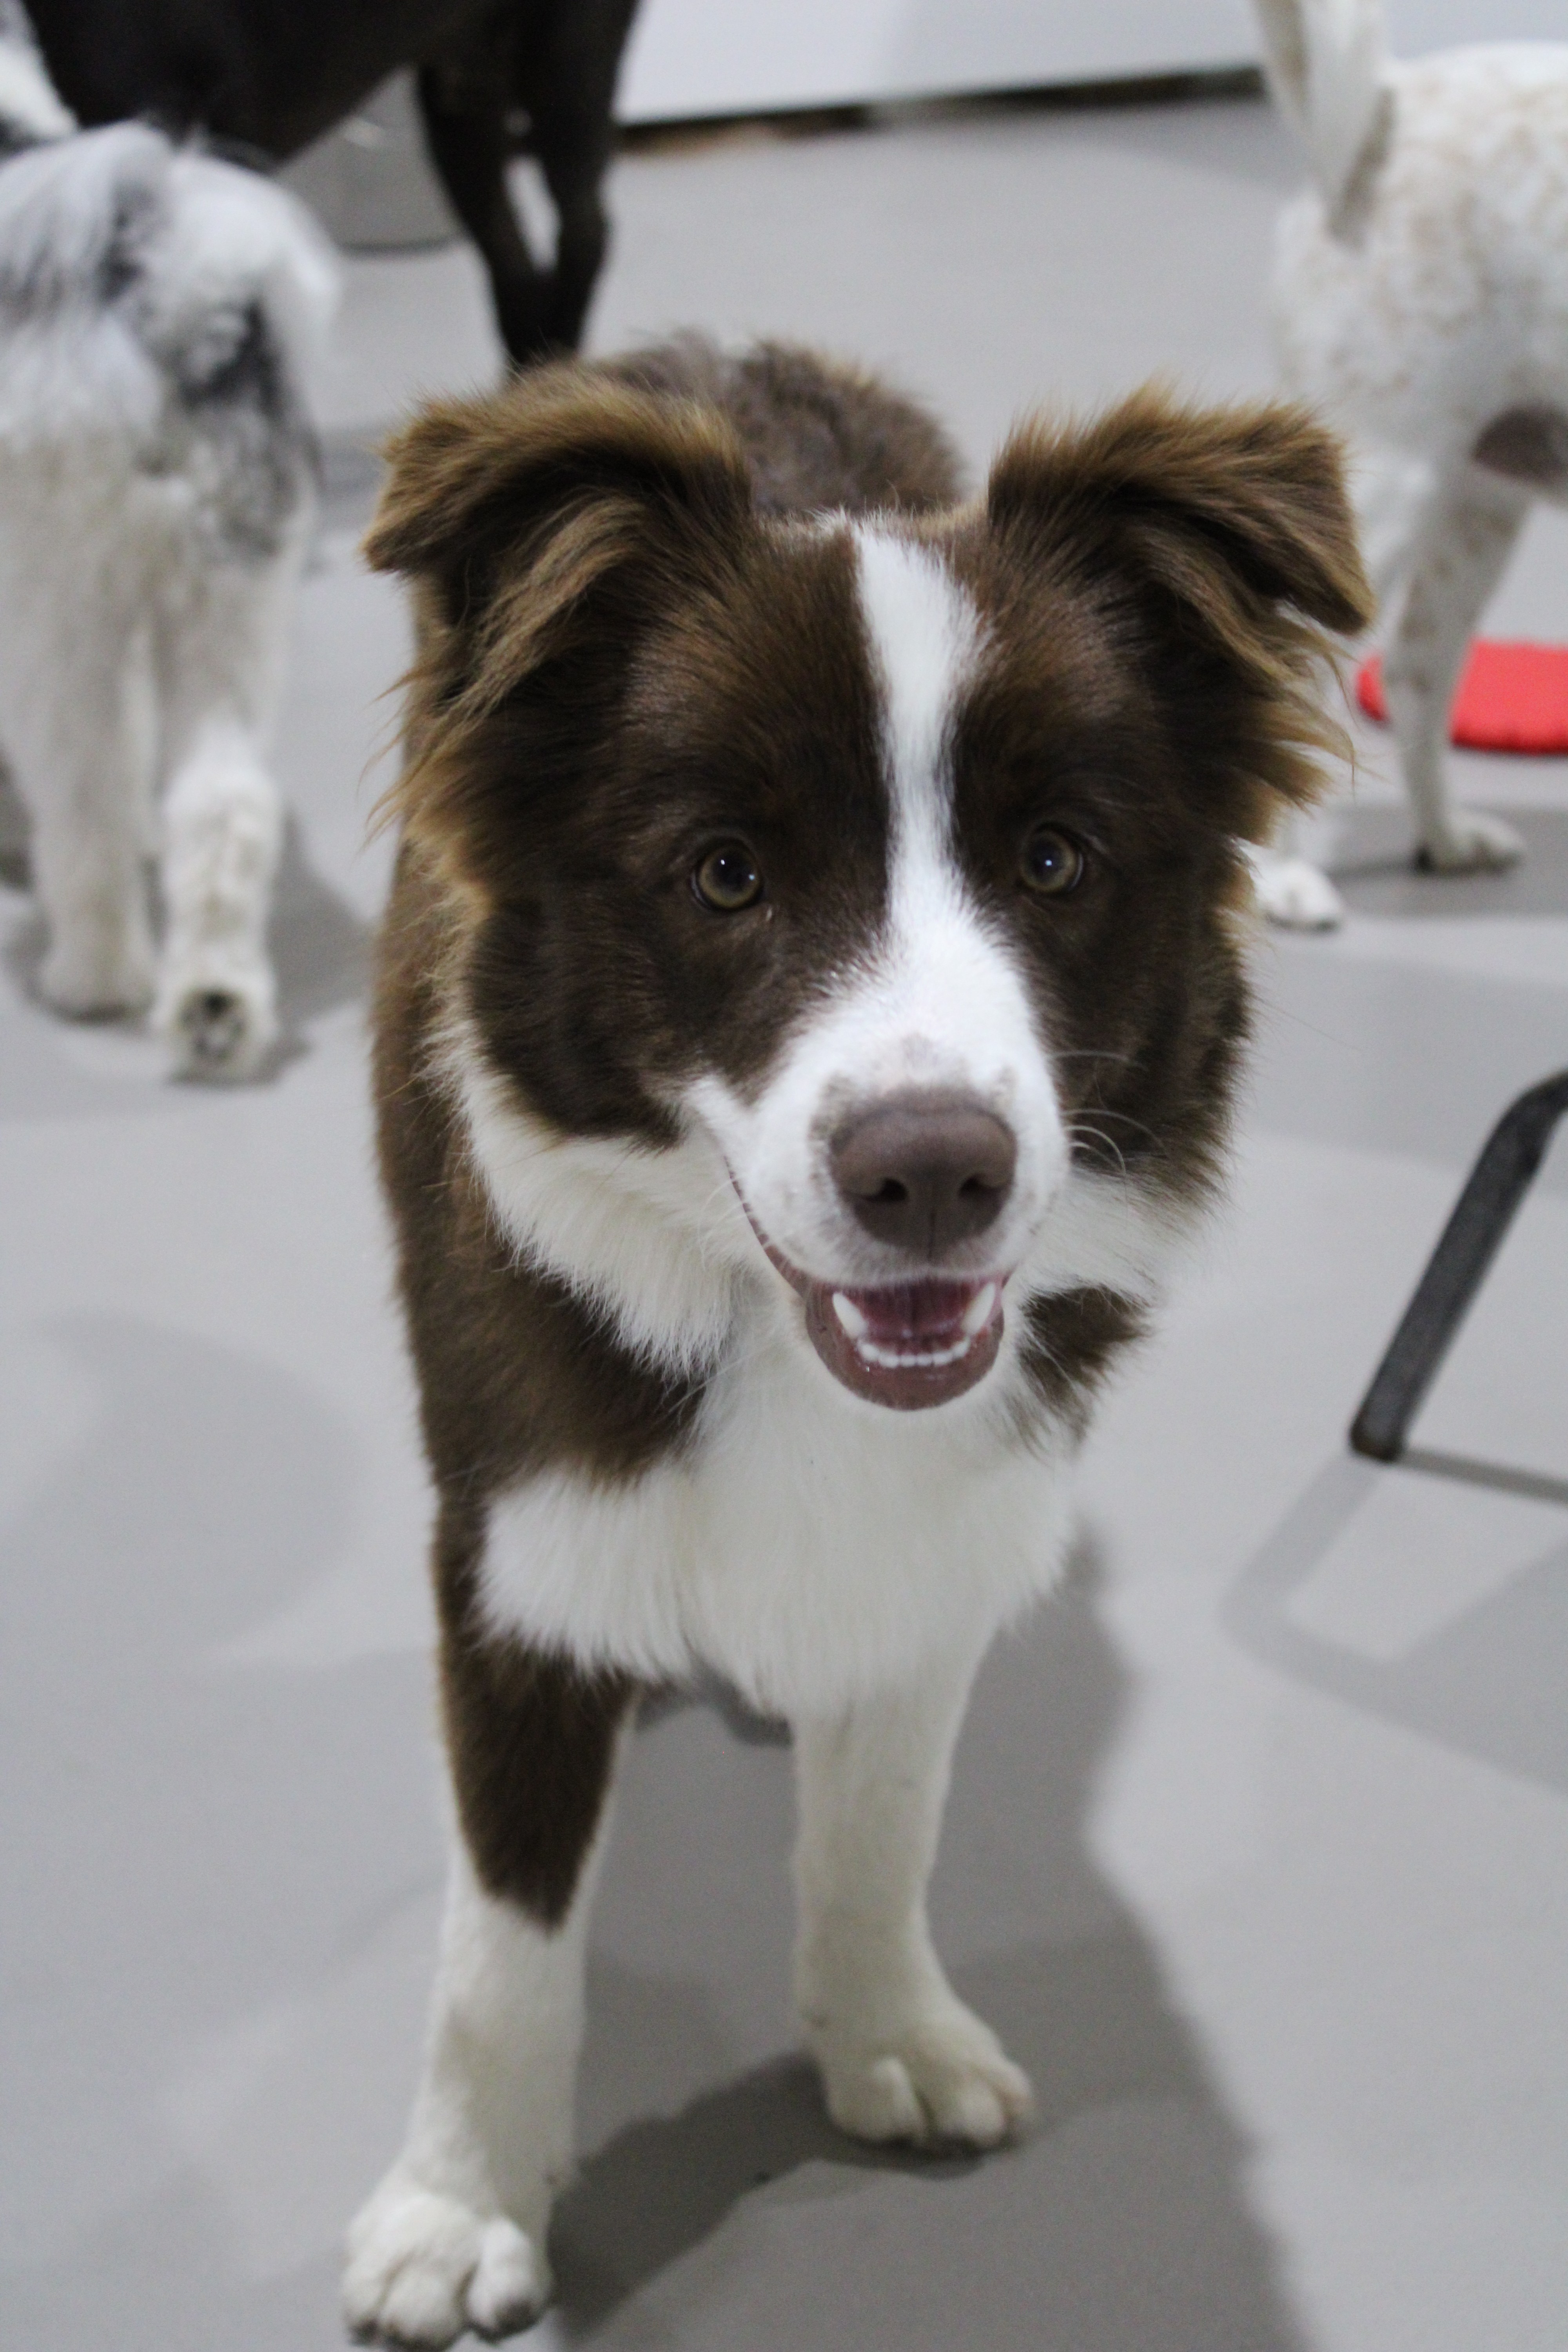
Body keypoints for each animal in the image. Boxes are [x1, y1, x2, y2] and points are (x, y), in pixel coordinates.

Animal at [0, 32, 336, 1077]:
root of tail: (180, 302)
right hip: (227, 601)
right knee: (225, 803)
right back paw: (214, 999)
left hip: (60, 605)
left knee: (88, 798)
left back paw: (96, 973)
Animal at [344, 336, 1369, 2345]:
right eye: (724, 873)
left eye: (1054, 858)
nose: (932, 1175)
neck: (766, 1332)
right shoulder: (517, 1541)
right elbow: (498, 1947)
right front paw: (457, 2205)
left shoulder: (944, 1530)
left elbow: (884, 1818)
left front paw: (883, 2033)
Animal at [1249, 0, 1568, 929]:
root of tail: (1388, 105)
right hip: (1383, 495)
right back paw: (1280, 881)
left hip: (1476, 509)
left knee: (1416, 675)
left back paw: (1446, 837)